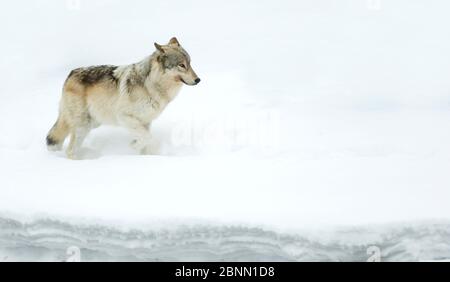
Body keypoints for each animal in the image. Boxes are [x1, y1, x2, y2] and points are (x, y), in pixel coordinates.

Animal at [46, 37, 200, 159]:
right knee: (70, 150)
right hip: (83, 126)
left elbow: (146, 140)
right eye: (181, 65)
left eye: (190, 63)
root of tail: (70, 74)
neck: (151, 86)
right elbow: (147, 137)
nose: (198, 80)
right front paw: (133, 146)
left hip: (92, 123)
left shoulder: (145, 122)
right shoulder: (125, 117)